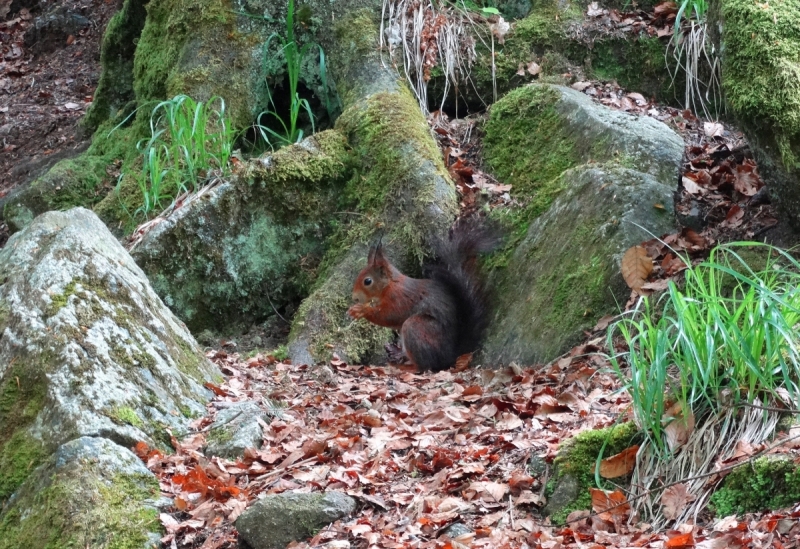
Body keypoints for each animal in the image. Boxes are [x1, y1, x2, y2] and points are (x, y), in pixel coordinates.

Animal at [346, 217, 496, 368]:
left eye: (367, 281)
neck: (390, 285)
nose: (355, 298)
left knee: (425, 366)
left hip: (416, 327)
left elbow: (389, 316)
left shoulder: (399, 298)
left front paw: (361, 310)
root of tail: (450, 356)